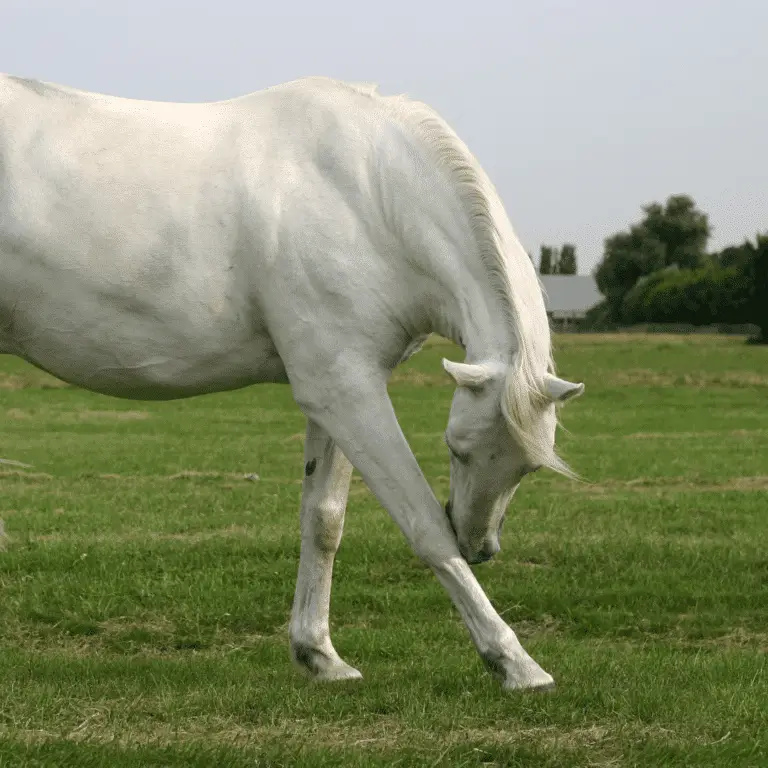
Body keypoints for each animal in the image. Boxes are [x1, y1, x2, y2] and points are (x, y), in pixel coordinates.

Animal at [1, 75, 584, 692]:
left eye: (529, 467)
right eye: (458, 448)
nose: (479, 546)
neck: (371, 196)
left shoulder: (344, 385)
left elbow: (323, 520)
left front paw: (320, 655)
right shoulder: (344, 391)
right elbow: (423, 524)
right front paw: (514, 662)